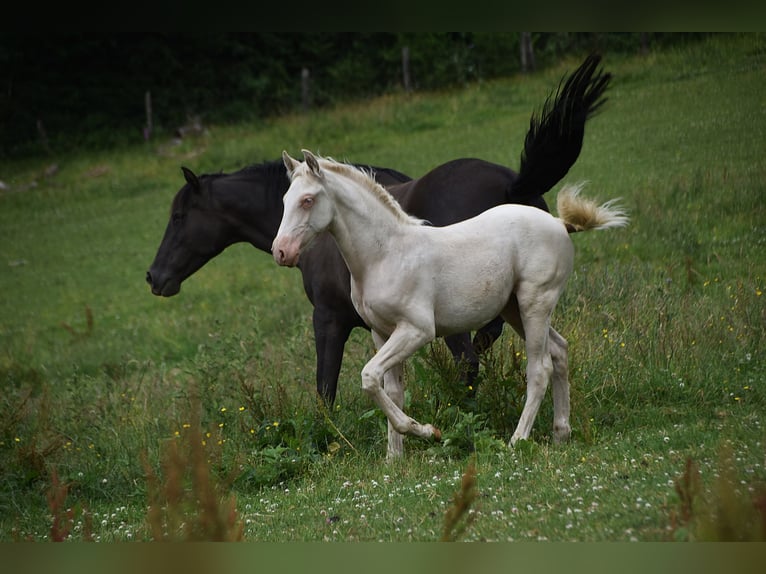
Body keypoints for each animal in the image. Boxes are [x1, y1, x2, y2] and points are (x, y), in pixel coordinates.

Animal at [146, 52, 611, 405]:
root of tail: (517, 184)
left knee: (473, 354)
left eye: (179, 217)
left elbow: (325, 389)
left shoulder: (329, 319)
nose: (154, 277)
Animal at [274, 150, 628, 459]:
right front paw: (394, 458)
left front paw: (427, 432)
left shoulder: (417, 330)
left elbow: (369, 377)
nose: (281, 252)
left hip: (535, 302)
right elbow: (391, 390)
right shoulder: (381, 331)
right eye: (285, 200)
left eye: (308, 200)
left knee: (540, 367)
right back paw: (561, 433)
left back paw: (518, 440)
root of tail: (558, 223)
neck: (385, 254)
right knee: (559, 350)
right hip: (513, 308)